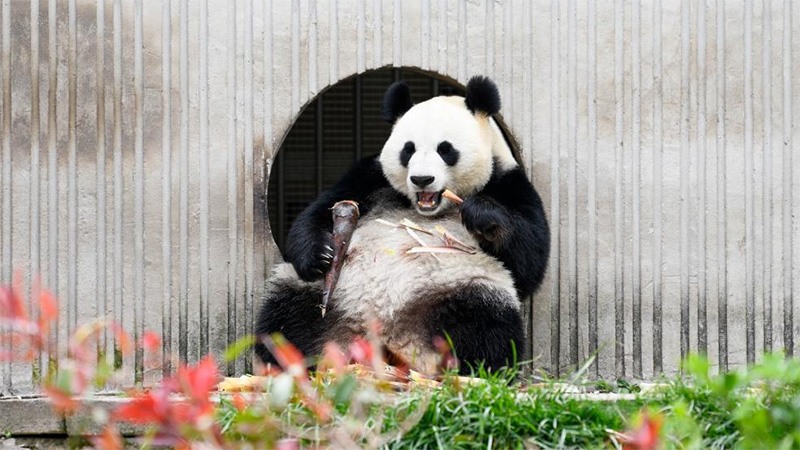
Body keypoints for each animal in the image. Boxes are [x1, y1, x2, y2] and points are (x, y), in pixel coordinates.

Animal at [255, 76, 550, 375]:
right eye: (408, 149)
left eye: (446, 149)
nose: (422, 179)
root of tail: (386, 339)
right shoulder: (370, 177)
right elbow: (319, 212)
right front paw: (320, 255)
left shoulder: (508, 183)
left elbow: (528, 259)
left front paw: (480, 213)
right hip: (324, 296)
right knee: (286, 319)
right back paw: (287, 364)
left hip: (462, 288)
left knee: (486, 326)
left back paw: (472, 370)